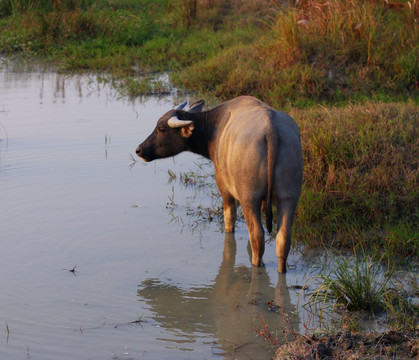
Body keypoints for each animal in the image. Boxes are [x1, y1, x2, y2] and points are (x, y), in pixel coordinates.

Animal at [136, 95, 304, 272]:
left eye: (161, 129)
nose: (139, 150)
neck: (215, 128)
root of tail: (271, 129)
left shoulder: (223, 185)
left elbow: (229, 217)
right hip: (289, 196)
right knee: (283, 239)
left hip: (249, 197)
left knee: (257, 236)